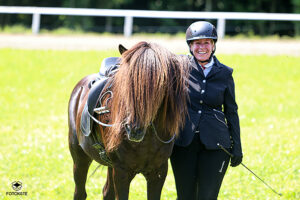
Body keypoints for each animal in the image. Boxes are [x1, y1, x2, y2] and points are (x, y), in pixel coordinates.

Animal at [68, 41, 190, 199]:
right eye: (126, 81)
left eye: (159, 85)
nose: (133, 128)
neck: (147, 139)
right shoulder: (122, 172)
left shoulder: (158, 172)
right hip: (80, 157)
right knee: (80, 192)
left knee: (107, 192)